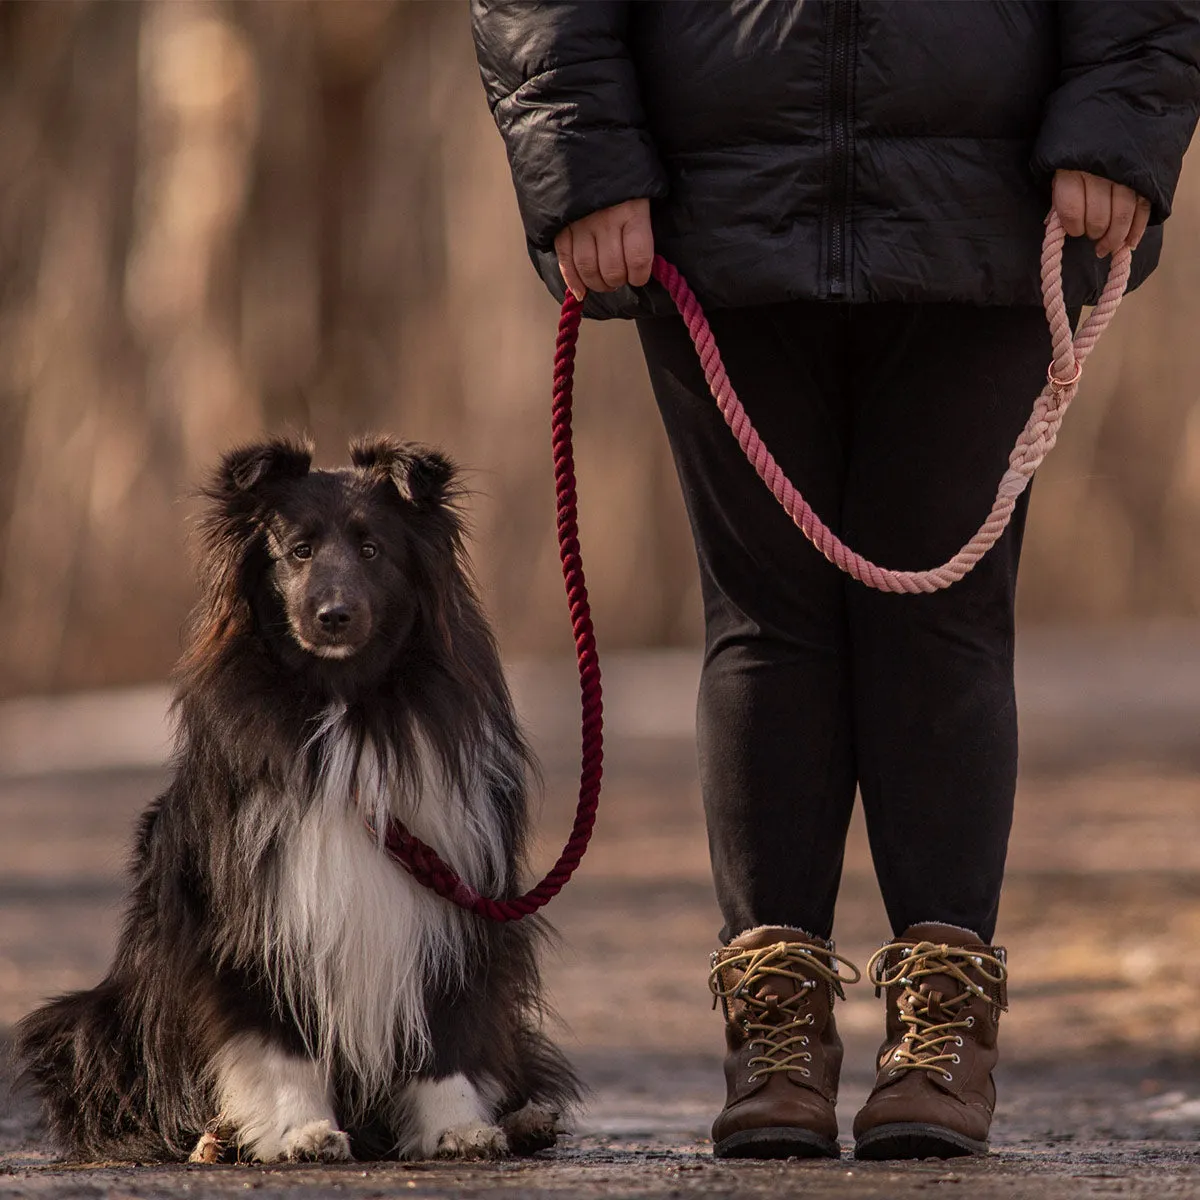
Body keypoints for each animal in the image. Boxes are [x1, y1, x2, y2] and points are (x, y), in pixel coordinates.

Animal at [17, 439, 580, 1161]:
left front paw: (458, 1126)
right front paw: (300, 1131)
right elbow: (277, 1038)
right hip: (89, 1027)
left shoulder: (456, 903)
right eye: (298, 551)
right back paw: (215, 1137)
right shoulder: (255, 914)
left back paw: (525, 1117)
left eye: (372, 549)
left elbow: (446, 1031)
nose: (333, 615)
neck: (347, 711)